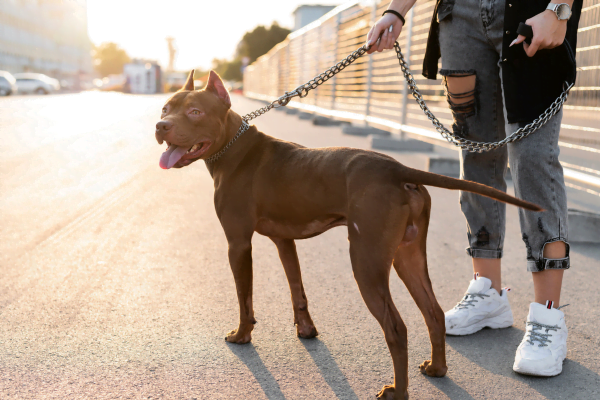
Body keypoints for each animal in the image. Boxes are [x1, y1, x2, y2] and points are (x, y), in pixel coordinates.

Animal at [157, 70, 540, 398]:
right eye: (166, 108)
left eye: (194, 111)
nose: (161, 125)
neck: (233, 149)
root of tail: (396, 169)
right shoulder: (285, 241)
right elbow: (297, 290)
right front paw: (306, 331)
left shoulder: (238, 243)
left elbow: (244, 297)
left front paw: (242, 335)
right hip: (408, 256)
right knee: (433, 313)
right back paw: (436, 369)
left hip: (366, 263)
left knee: (396, 328)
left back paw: (398, 391)